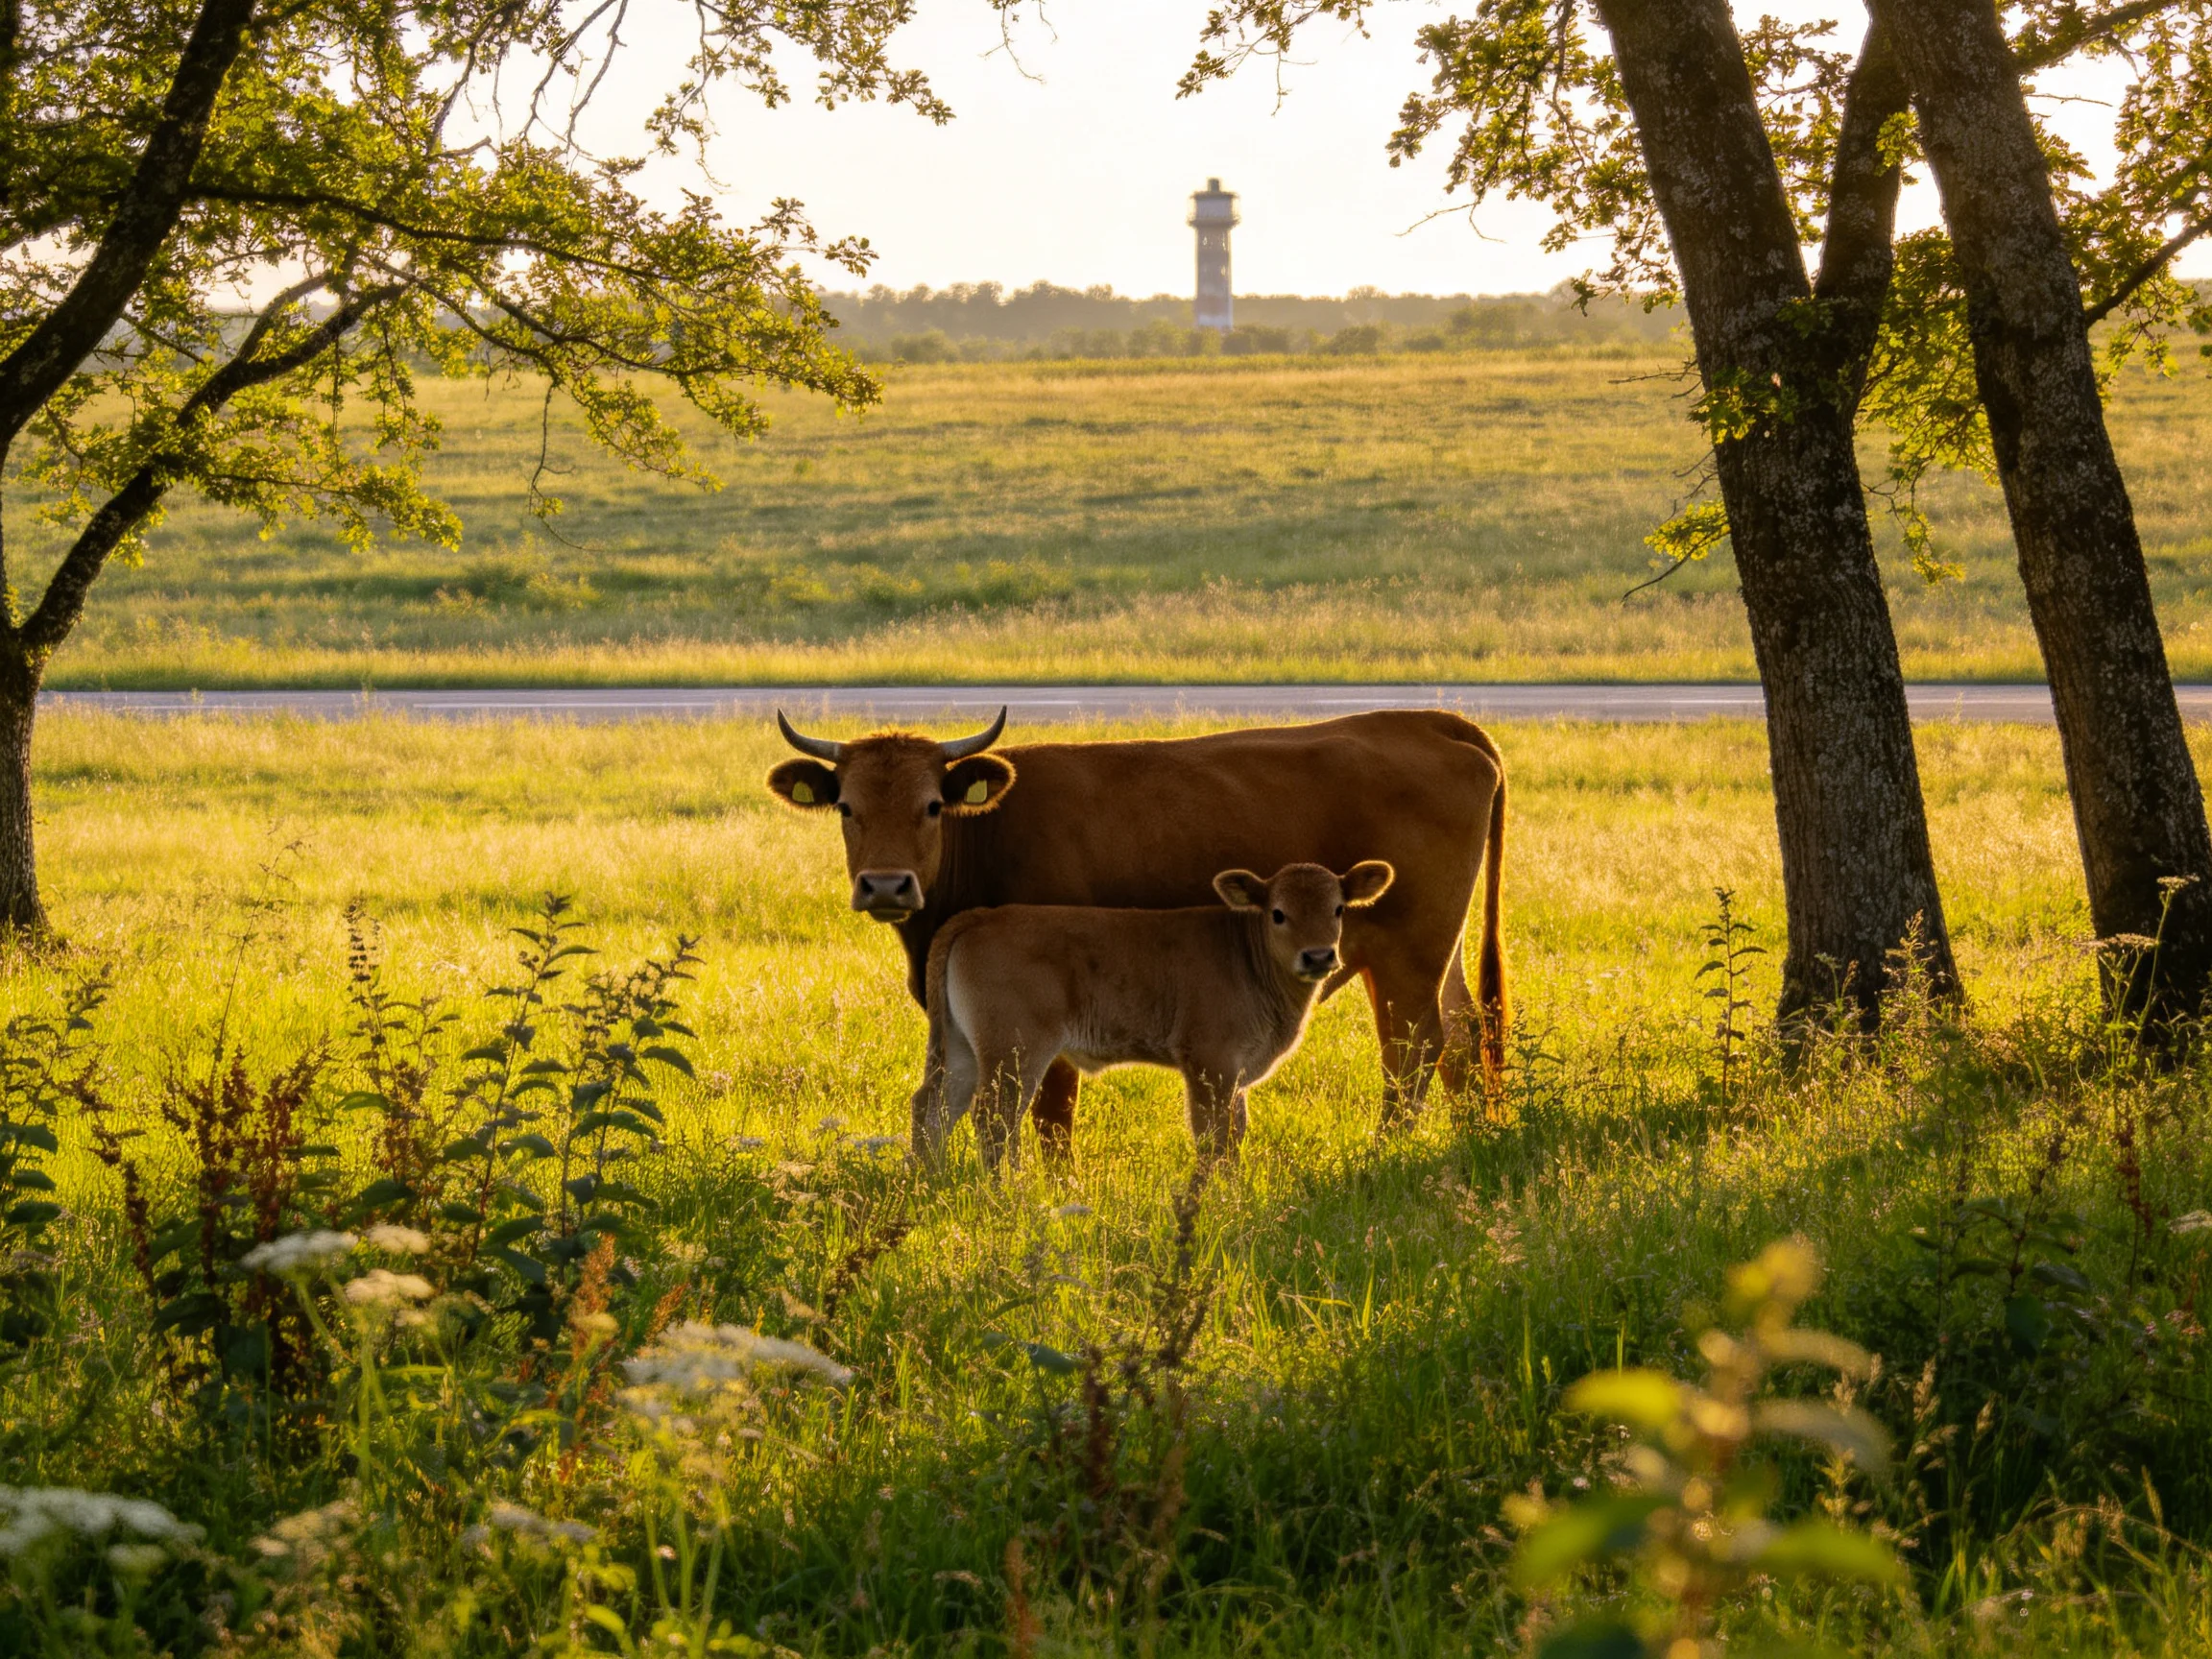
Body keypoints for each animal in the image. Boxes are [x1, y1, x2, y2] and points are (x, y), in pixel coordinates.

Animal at [918, 861, 1396, 1170]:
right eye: (1278, 913)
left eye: (1338, 908)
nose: (1318, 956)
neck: (1245, 953)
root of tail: (981, 917)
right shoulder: (1210, 1064)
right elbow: (1214, 1136)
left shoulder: (1237, 1075)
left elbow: (1236, 1131)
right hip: (1015, 1053)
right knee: (994, 1118)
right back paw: (1011, 1193)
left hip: (962, 1050)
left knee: (935, 1106)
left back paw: (927, 1180)